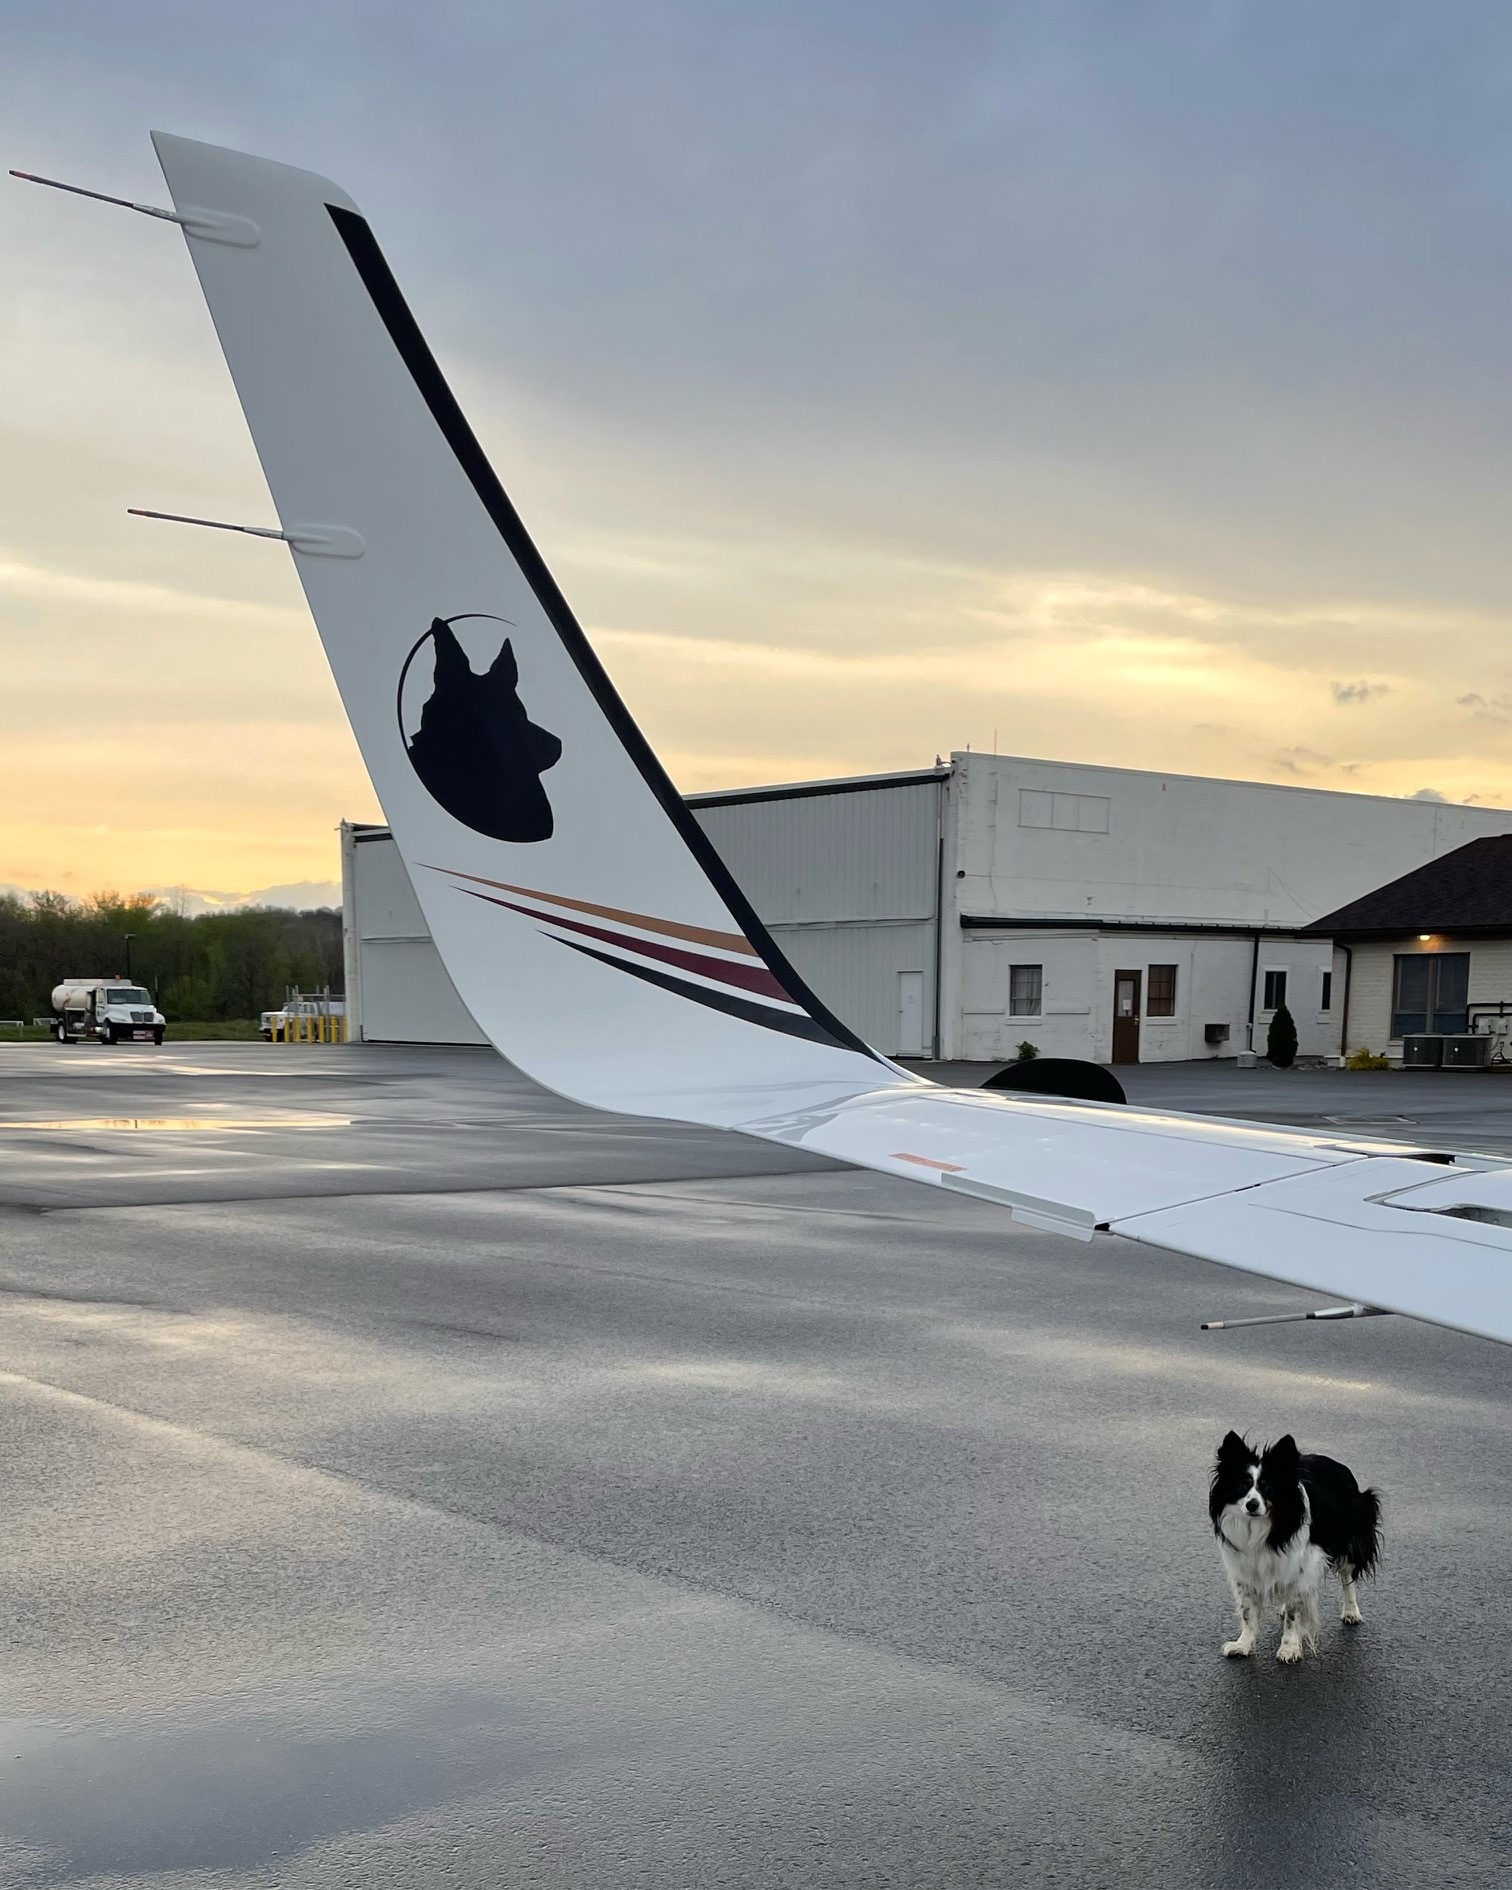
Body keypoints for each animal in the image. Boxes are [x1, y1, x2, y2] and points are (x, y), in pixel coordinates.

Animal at [1209, 1431, 1382, 1663]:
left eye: (1269, 1488)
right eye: (1242, 1487)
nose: (1252, 1505)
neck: (1262, 1526)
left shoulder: (1301, 1567)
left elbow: (1294, 1613)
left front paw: (1289, 1648)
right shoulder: (1245, 1571)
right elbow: (1247, 1611)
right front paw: (1243, 1644)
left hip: (1350, 1538)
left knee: (1348, 1578)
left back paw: (1351, 1612)